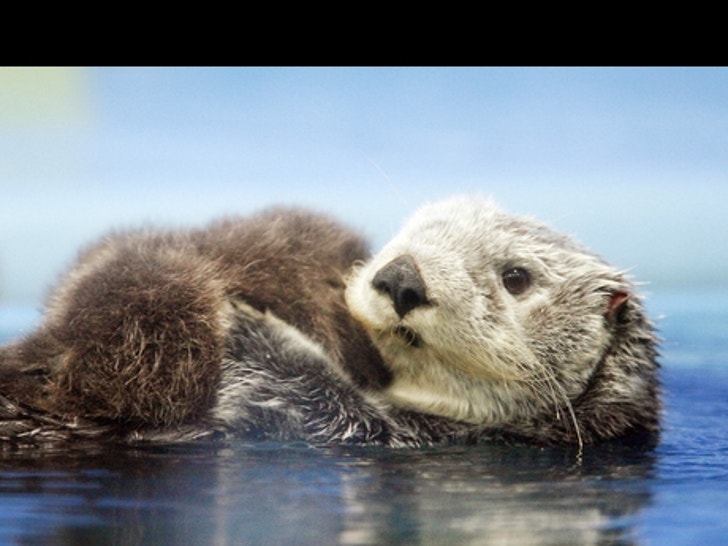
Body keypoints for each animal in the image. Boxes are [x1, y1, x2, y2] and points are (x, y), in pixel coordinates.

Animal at [0, 196, 660, 448]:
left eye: (516, 277)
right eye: (418, 229)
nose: (401, 277)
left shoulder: (411, 435)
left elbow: (318, 402)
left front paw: (246, 318)